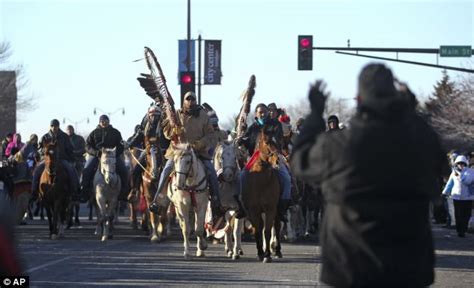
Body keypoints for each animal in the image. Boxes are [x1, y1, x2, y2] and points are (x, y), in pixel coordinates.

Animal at [241, 130, 282, 264]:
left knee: (277, 226)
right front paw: (260, 253)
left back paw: (277, 251)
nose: (278, 160)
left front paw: (267, 255)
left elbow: (267, 231)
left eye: (279, 141)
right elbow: (257, 230)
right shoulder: (253, 210)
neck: (261, 182)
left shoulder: (270, 208)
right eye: (267, 142)